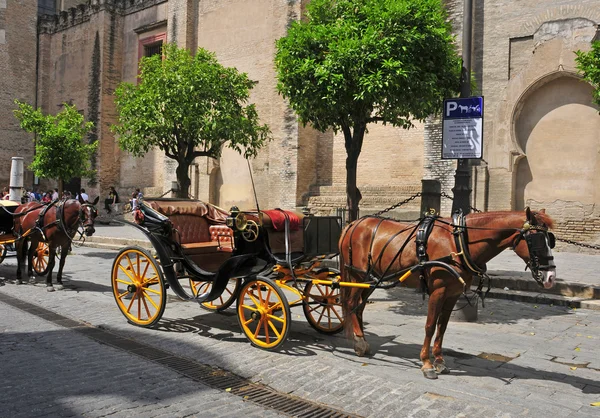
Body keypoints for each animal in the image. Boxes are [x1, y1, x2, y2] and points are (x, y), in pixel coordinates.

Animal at [340, 208, 556, 378]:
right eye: (536, 239)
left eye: (551, 240)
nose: (551, 277)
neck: (458, 243)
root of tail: (352, 224)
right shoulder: (438, 291)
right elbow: (429, 326)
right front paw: (426, 363)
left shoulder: (452, 294)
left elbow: (441, 328)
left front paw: (439, 361)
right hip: (358, 275)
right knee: (351, 304)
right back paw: (359, 343)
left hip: (372, 279)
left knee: (359, 308)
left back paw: (361, 340)